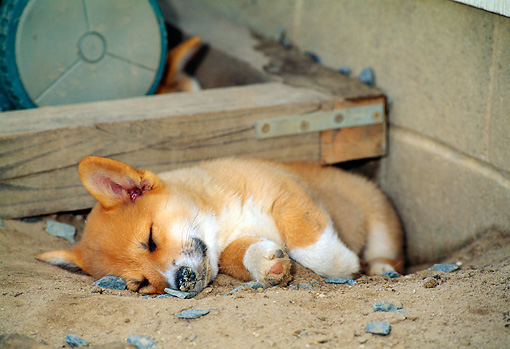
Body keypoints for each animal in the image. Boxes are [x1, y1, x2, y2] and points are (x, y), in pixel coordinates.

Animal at [36, 156, 402, 292]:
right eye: (141, 284)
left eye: (151, 239)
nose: (182, 281)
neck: (220, 219)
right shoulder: (228, 248)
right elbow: (241, 256)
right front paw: (269, 265)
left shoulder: (287, 197)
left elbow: (313, 246)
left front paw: (344, 264)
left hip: (379, 218)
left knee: (388, 251)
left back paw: (381, 268)